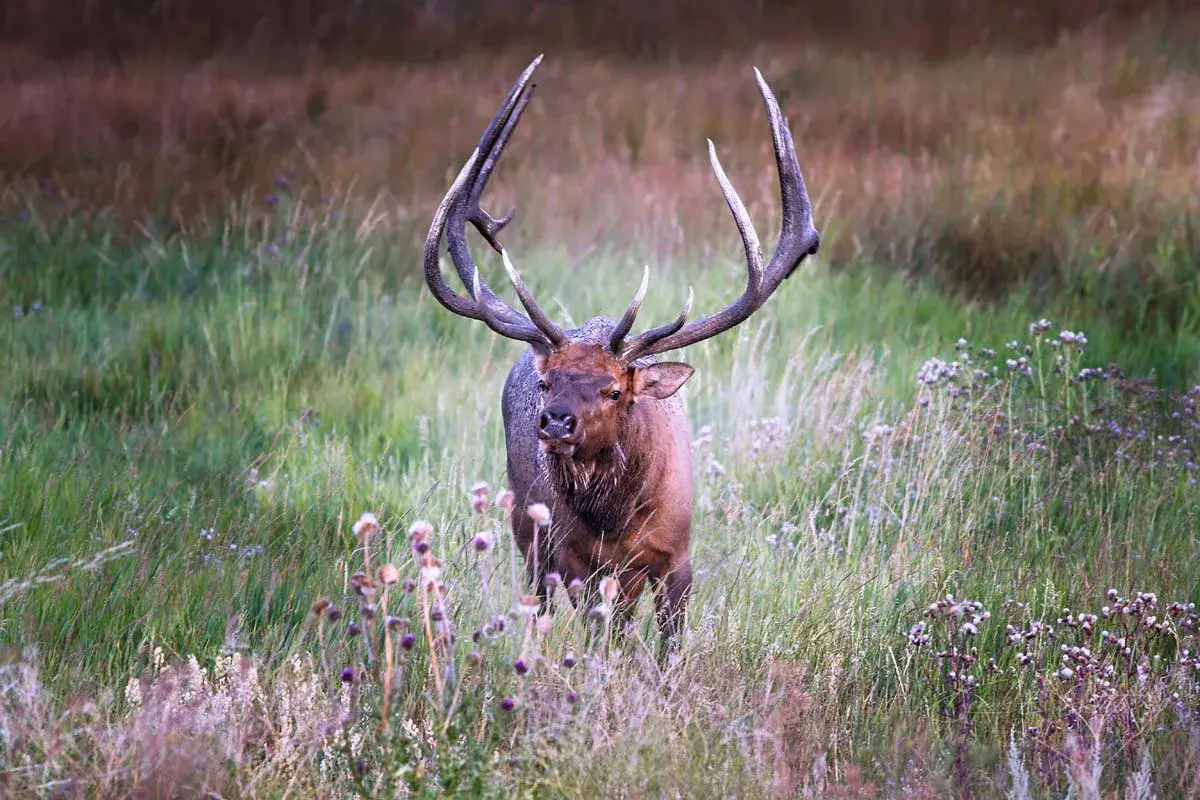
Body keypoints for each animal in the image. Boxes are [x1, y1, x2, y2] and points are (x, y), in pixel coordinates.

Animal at [422, 55, 820, 656]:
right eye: (548, 382)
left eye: (614, 390)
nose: (555, 422)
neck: (618, 523)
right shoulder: (574, 559)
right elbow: (599, 637)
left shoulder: (677, 555)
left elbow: (670, 643)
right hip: (527, 531)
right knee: (542, 601)